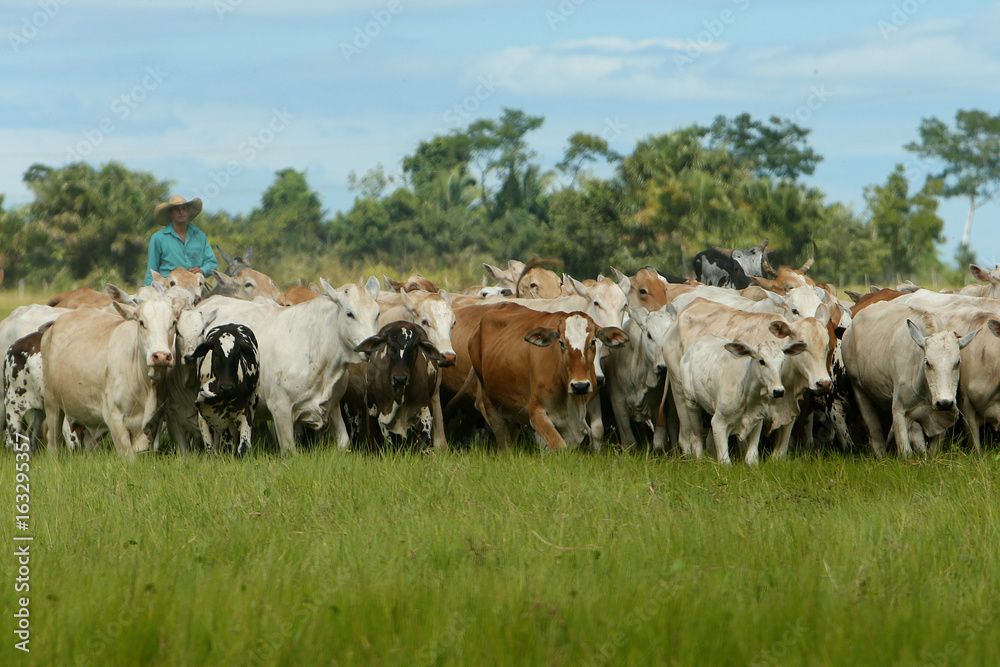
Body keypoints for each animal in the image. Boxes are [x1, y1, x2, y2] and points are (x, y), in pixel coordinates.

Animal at [184, 324, 260, 460]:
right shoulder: (203, 417)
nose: (226, 387)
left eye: (237, 354)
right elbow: (209, 446)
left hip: (253, 400)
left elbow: (243, 446)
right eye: (216, 353)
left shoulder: (244, 413)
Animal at [196, 276, 382, 454]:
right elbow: (289, 450)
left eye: (377, 313)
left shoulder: (333, 405)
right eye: (350, 313)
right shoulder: (281, 409)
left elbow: (344, 442)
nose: (371, 346)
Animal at [844, 302, 976, 460]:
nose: (944, 402)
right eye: (927, 362)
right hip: (859, 390)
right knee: (875, 431)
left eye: (957, 362)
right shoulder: (899, 410)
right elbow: (905, 451)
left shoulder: (945, 414)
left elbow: (934, 449)